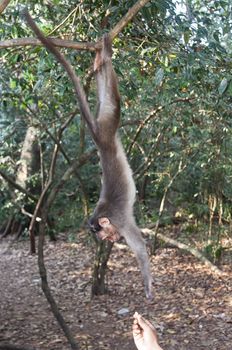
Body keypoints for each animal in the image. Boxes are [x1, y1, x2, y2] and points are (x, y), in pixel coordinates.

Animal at [24, 12, 153, 300]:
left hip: (108, 123)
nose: (109, 241)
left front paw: (148, 285)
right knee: (104, 94)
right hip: (104, 122)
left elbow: (139, 246)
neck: (104, 214)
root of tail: (98, 136)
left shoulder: (121, 222)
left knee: (114, 101)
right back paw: (98, 61)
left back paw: (105, 55)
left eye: (103, 233)